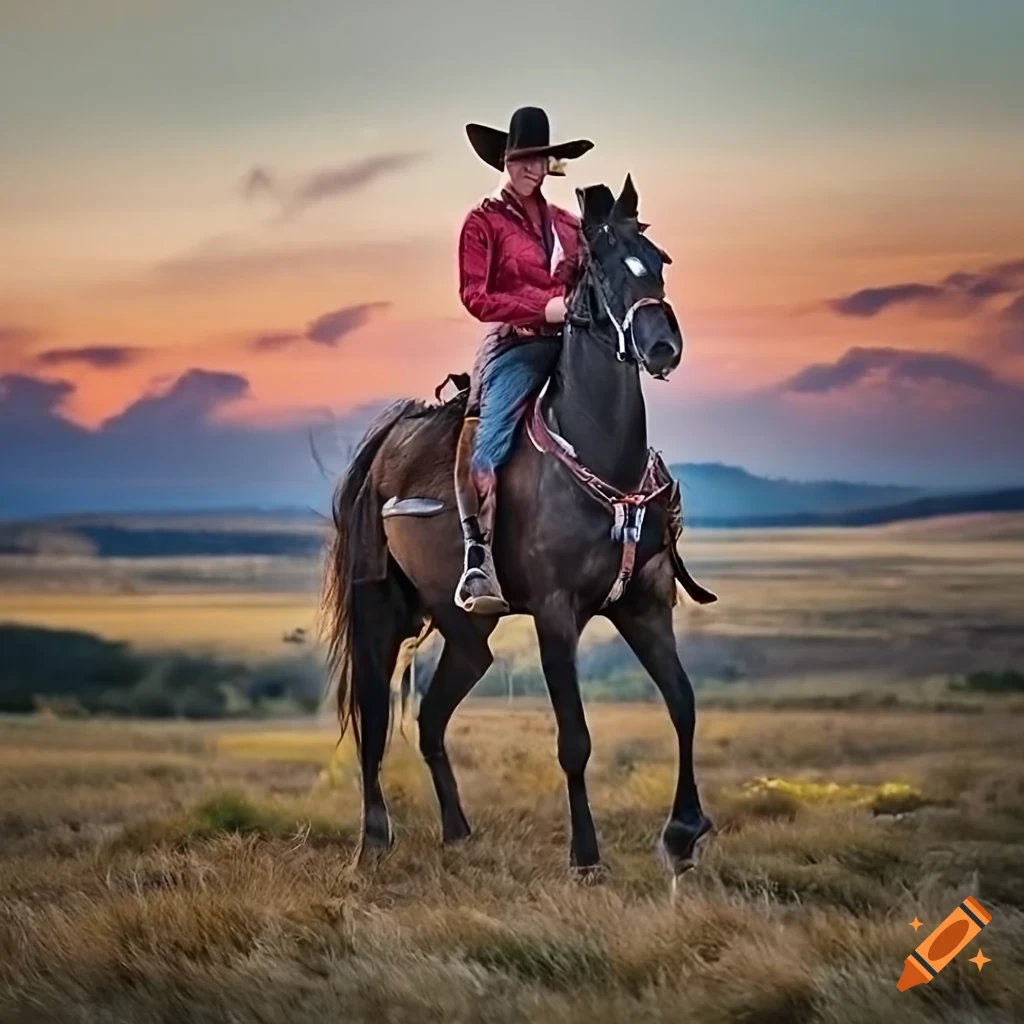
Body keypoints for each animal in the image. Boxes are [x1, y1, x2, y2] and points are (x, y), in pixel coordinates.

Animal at [321, 174, 716, 879]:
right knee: (373, 718)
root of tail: (383, 444)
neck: (597, 451)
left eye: (659, 260)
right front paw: (585, 857)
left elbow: (683, 703)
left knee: (430, 718)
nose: (663, 347)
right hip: (379, 614)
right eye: (602, 265)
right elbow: (574, 739)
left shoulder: (645, 604)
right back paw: (373, 843)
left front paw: (683, 831)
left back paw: (457, 832)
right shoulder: (556, 614)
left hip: (465, 631)